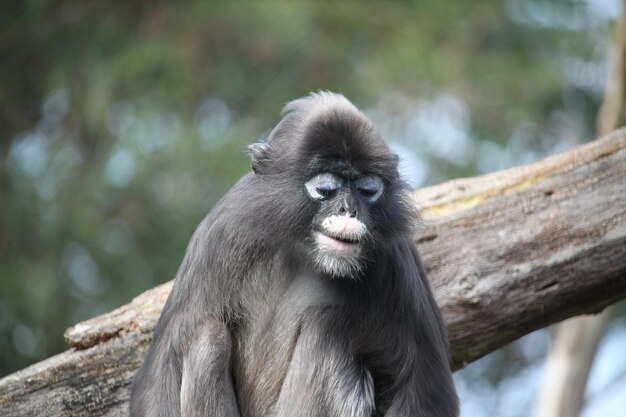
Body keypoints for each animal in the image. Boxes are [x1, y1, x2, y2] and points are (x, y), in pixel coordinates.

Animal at [129, 92, 456, 416]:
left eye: (367, 189)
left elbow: (423, 386)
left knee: (328, 325)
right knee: (208, 337)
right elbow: (161, 371)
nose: (348, 209)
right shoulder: (221, 234)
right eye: (326, 187)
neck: (301, 248)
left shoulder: (393, 259)